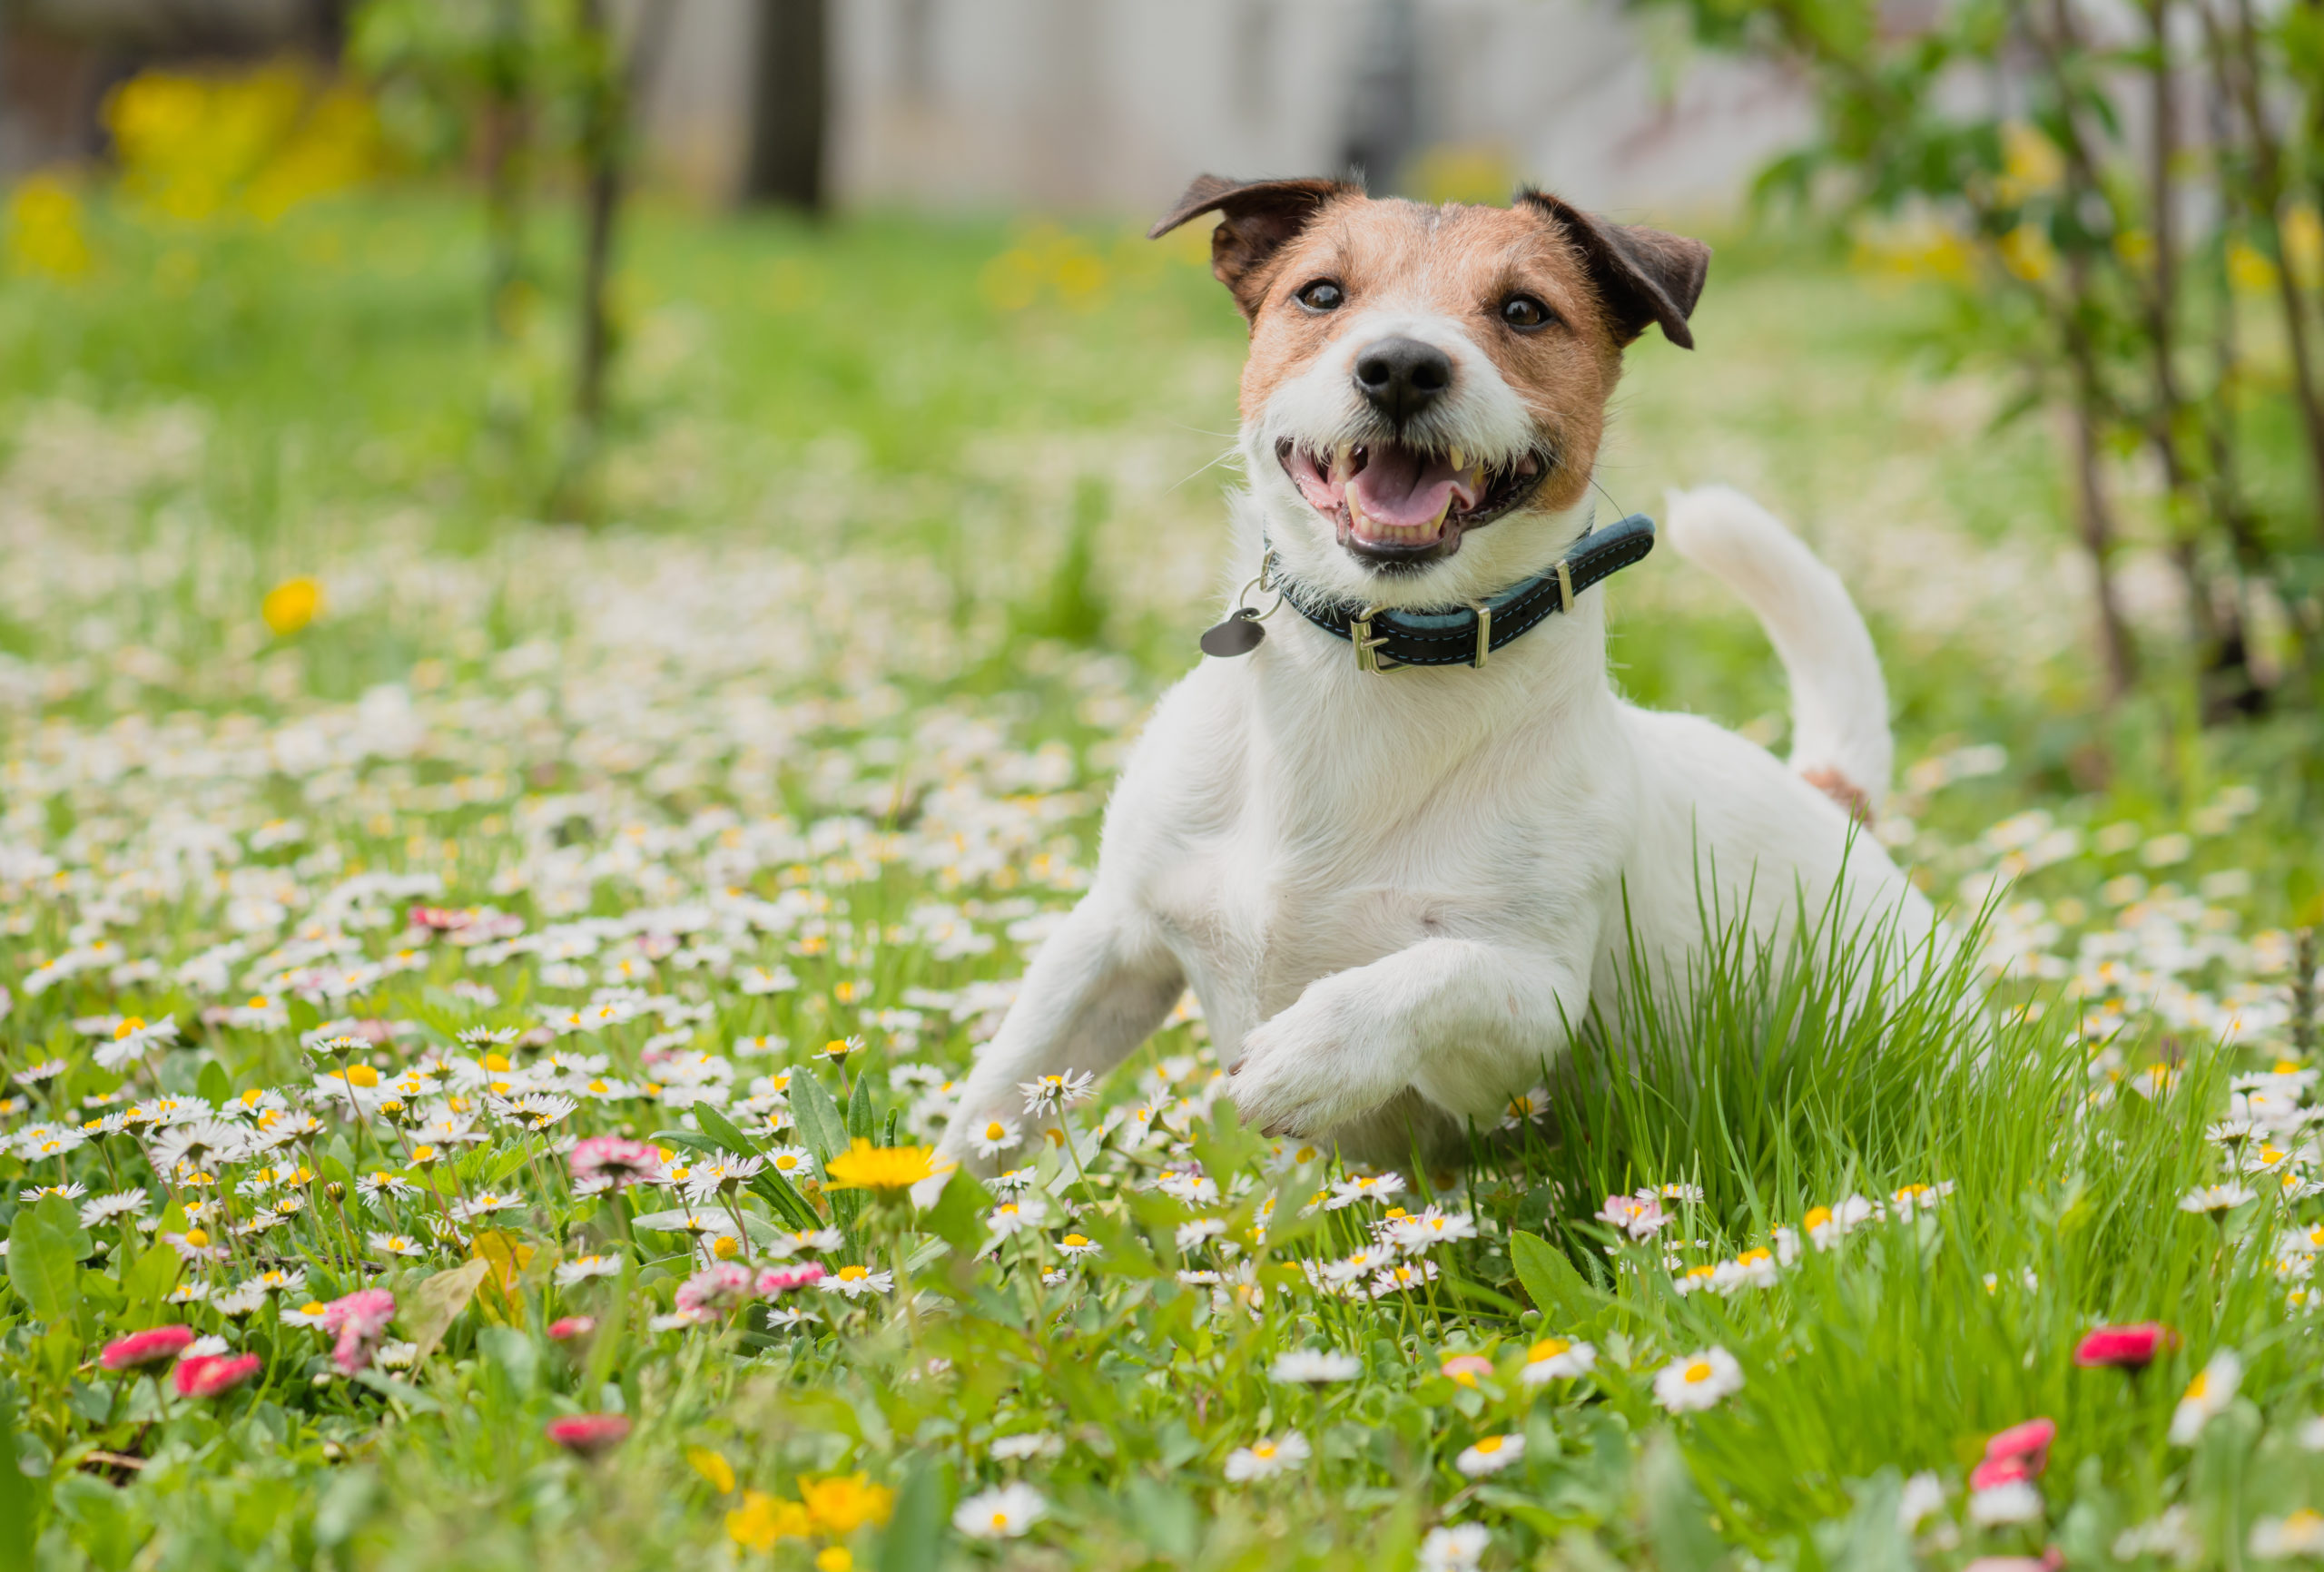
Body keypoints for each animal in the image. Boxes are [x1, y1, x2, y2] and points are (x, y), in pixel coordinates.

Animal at [934, 181, 1933, 1165]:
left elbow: (1439, 972)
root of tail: (1833, 801)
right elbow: (988, 1110)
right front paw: (933, 1206)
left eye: (1524, 310)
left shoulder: (1530, 1023)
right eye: (1321, 294)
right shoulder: (1112, 942)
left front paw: (1314, 1051)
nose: (1402, 366)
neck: (1376, 660)